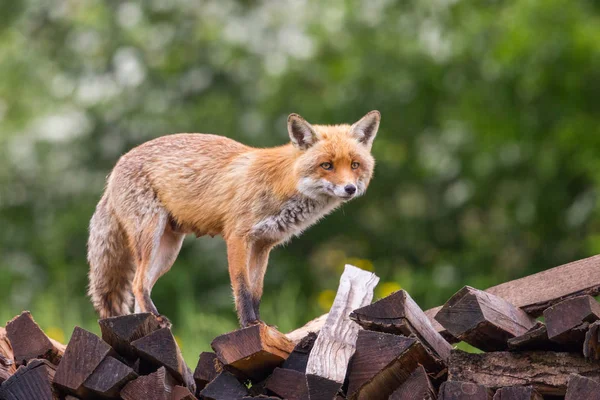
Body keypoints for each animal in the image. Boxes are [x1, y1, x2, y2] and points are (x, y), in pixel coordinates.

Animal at [86, 111, 380, 326]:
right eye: (326, 166)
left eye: (354, 165)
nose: (350, 189)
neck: (281, 185)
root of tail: (115, 167)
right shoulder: (238, 237)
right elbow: (242, 288)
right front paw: (248, 325)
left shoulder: (263, 245)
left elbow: (257, 291)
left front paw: (263, 326)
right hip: (150, 238)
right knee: (137, 284)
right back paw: (157, 318)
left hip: (168, 252)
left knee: (142, 287)